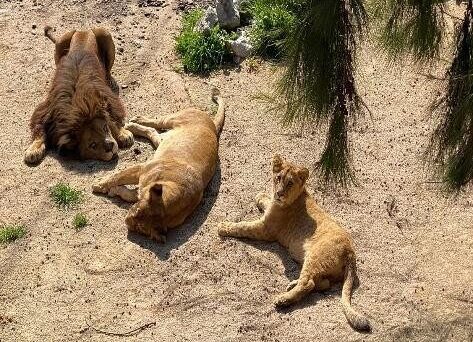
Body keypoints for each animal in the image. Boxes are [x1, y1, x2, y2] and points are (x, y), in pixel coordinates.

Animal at [25, 25, 134, 164]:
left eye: (104, 128)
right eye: (92, 145)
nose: (110, 146)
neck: (77, 105)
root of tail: (83, 30)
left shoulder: (107, 98)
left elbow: (113, 119)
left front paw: (123, 134)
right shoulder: (46, 111)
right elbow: (39, 131)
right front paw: (33, 149)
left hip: (105, 34)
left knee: (108, 68)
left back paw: (109, 79)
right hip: (60, 44)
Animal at [93, 89, 226, 242]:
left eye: (139, 228)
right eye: (137, 211)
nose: (127, 222)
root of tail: (212, 125)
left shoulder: (143, 187)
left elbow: (128, 193)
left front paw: (113, 190)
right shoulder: (141, 169)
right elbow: (116, 177)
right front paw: (99, 184)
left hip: (164, 141)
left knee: (153, 132)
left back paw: (134, 125)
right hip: (173, 119)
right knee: (157, 122)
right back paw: (135, 122)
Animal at [218, 157, 368, 332]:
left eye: (290, 183)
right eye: (278, 178)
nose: (279, 193)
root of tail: (351, 251)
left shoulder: (265, 230)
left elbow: (242, 226)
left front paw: (223, 227)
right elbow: (266, 201)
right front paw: (261, 196)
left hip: (314, 256)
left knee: (308, 283)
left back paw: (283, 299)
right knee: (323, 283)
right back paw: (292, 285)